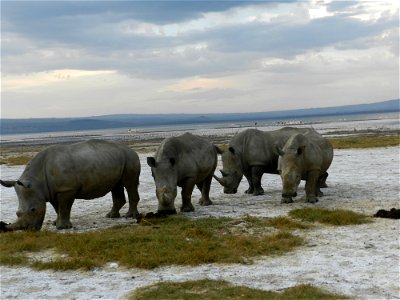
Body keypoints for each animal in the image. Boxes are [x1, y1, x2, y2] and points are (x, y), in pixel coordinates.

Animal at [0, 139, 141, 231]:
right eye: (17, 213)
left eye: (33, 210)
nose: (28, 230)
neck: (37, 181)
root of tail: (132, 150)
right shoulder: (52, 190)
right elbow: (57, 208)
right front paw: (55, 223)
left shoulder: (66, 189)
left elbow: (64, 207)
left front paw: (63, 227)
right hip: (115, 159)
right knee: (116, 186)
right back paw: (111, 216)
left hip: (130, 158)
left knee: (130, 184)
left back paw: (129, 216)